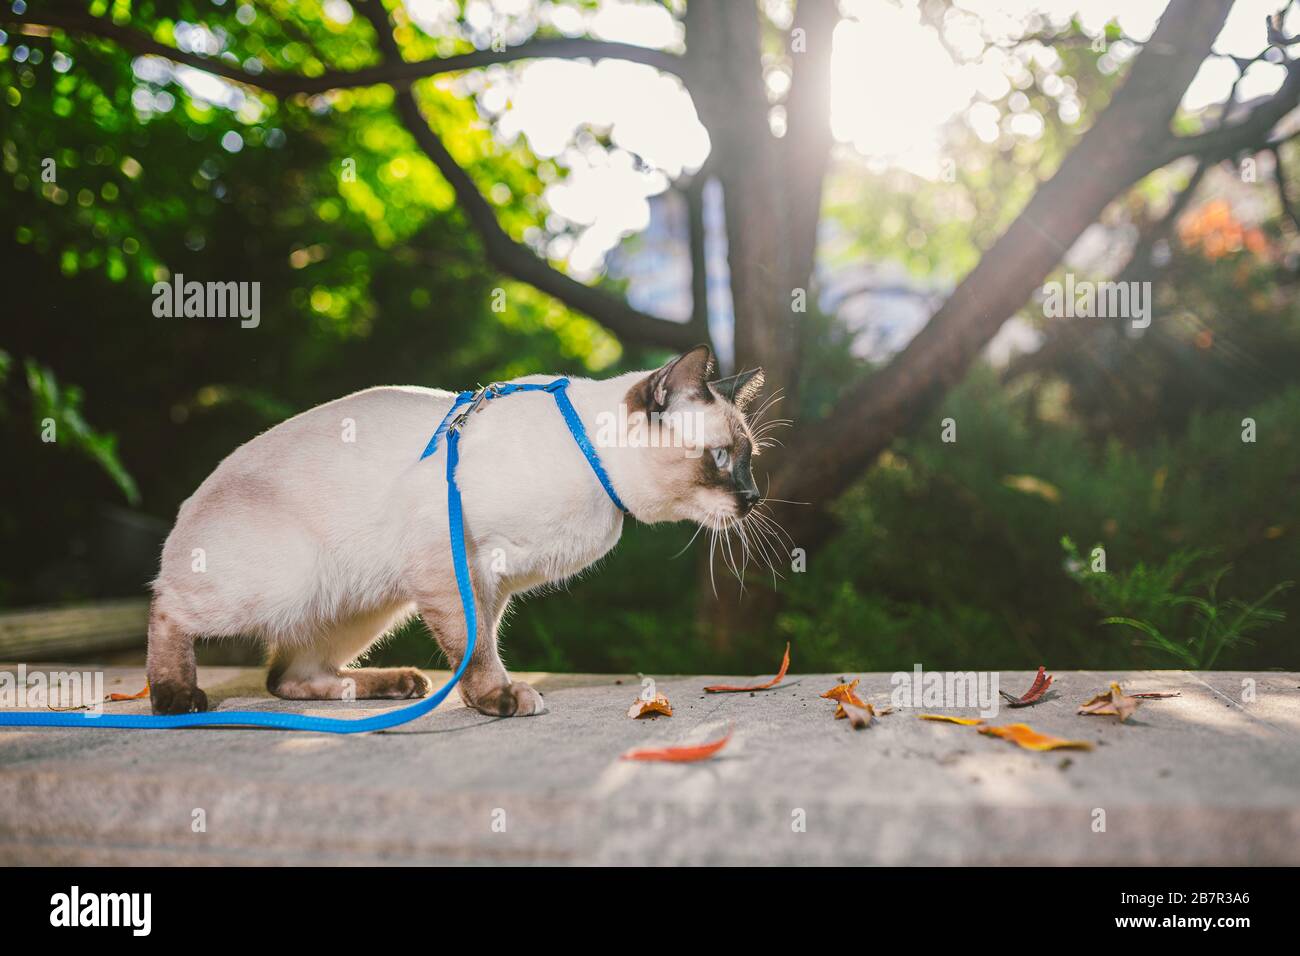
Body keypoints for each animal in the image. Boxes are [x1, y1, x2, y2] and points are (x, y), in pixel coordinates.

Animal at [147, 345, 764, 717]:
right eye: (721, 458)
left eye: (750, 459)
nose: (754, 498)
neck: (593, 461)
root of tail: (187, 504)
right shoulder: (455, 564)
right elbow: (474, 645)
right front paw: (499, 699)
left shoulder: (492, 580)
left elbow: (479, 640)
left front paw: (482, 698)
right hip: (289, 583)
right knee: (166, 606)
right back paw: (176, 697)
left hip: (362, 602)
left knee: (286, 675)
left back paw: (391, 684)